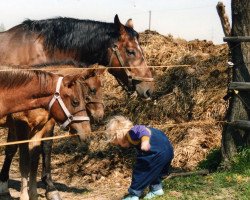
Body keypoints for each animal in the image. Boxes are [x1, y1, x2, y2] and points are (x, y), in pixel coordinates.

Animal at [0, 65, 104, 199]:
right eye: (92, 90)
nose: (100, 116)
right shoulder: (21, 125)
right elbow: (24, 161)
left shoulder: (40, 128)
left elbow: (34, 159)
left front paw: (38, 193)